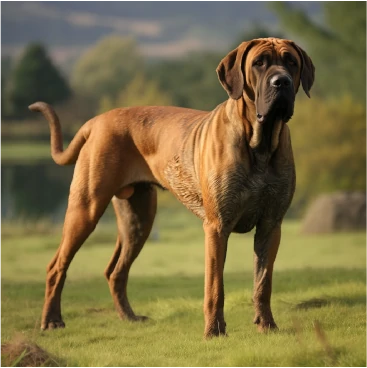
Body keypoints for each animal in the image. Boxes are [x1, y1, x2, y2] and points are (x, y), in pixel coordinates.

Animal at [30, 36, 314, 336]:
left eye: (291, 62)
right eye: (259, 63)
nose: (281, 82)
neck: (260, 142)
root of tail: (96, 121)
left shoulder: (271, 226)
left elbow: (263, 282)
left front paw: (267, 325)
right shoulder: (217, 226)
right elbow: (215, 286)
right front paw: (214, 331)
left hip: (138, 220)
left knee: (115, 271)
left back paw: (129, 317)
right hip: (86, 210)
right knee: (57, 266)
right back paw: (52, 320)